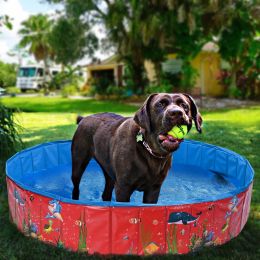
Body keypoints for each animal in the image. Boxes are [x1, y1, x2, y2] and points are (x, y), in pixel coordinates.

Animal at [71, 92, 203, 204]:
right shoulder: (123, 188)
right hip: (78, 163)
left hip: (108, 170)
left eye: (184, 105)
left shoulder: (153, 190)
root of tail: (84, 118)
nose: (176, 113)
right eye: (160, 104)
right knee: (76, 186)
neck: (150, 151)